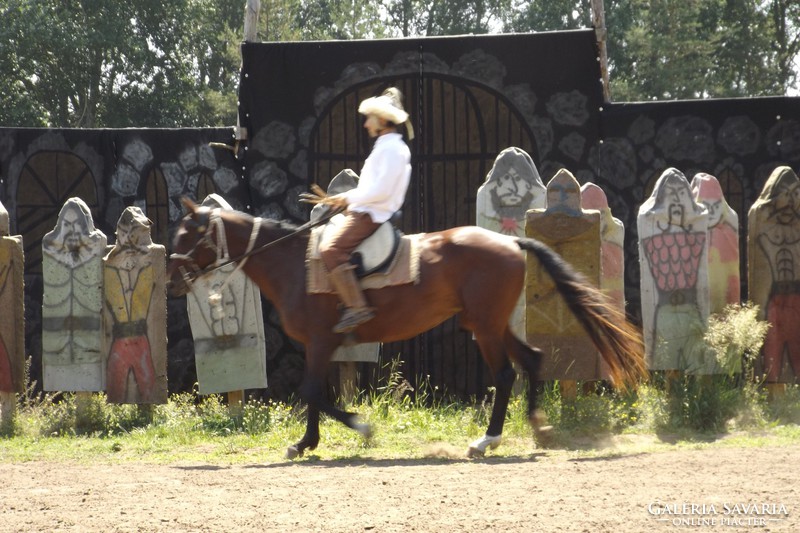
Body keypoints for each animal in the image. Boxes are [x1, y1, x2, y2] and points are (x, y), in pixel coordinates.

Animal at [169, 198, 648, 458]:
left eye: (186, 236)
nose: (173, 281)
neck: (295, 263)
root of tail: (510, 239)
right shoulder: (317, 345)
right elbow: (314, 393)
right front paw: (309, 442)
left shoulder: (322, 341)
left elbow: (311, 392)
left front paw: (347, 431)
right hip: (490, 322)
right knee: (531, 359)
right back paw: (537, 425)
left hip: (486, 327)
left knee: (505, 373)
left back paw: (487, 440)